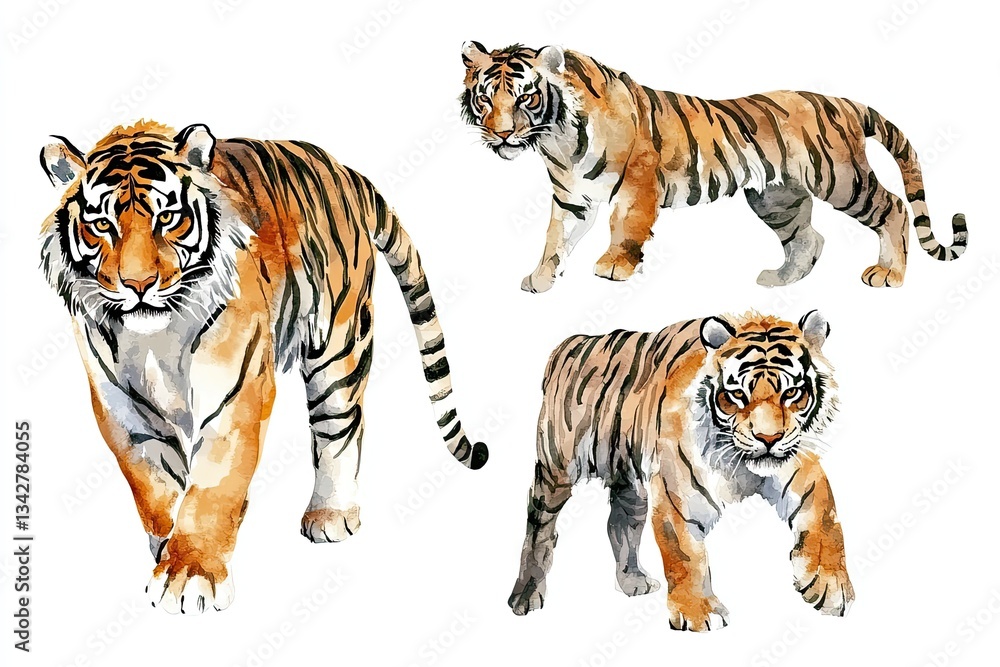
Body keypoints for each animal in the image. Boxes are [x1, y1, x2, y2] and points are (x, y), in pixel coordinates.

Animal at [39, 120, 488, 614]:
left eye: (168, 218)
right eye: (102, 225)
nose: (138, 284)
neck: (154, 338)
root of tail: (342, 169)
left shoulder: (235, 392)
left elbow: (213, 487)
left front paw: (191, 573)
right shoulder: (122, 411)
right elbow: (155, 489)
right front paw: (167, 549)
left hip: (338, 346)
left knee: (341, 428)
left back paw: (330, 515)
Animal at [460, 42, 968, 293]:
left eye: (525, 96)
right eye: (486, 97)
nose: (500, 135)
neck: (556, 138)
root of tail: (841, 101)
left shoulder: (637, 180)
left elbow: (625, 225)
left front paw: (614, 267)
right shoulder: (572, 197)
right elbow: (554, 238)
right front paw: (541, 279)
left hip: (841, 179)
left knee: (894, 208)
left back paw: (889, 275)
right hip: (776, 197)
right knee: (808, 238)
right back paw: (780, 280)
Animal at [508, 311, 852, 630]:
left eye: (791, 393)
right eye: (738, 395)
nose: (768, 439)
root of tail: (569, 343)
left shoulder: (801, 468)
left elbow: (826, 521)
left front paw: (830, 587)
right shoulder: (679, 494)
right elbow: (686, 555)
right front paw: (698, 613)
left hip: (629, 482)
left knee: (619, 523)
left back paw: (633, 581)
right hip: (557, 470)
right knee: (539, 527)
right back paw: (524, 596)